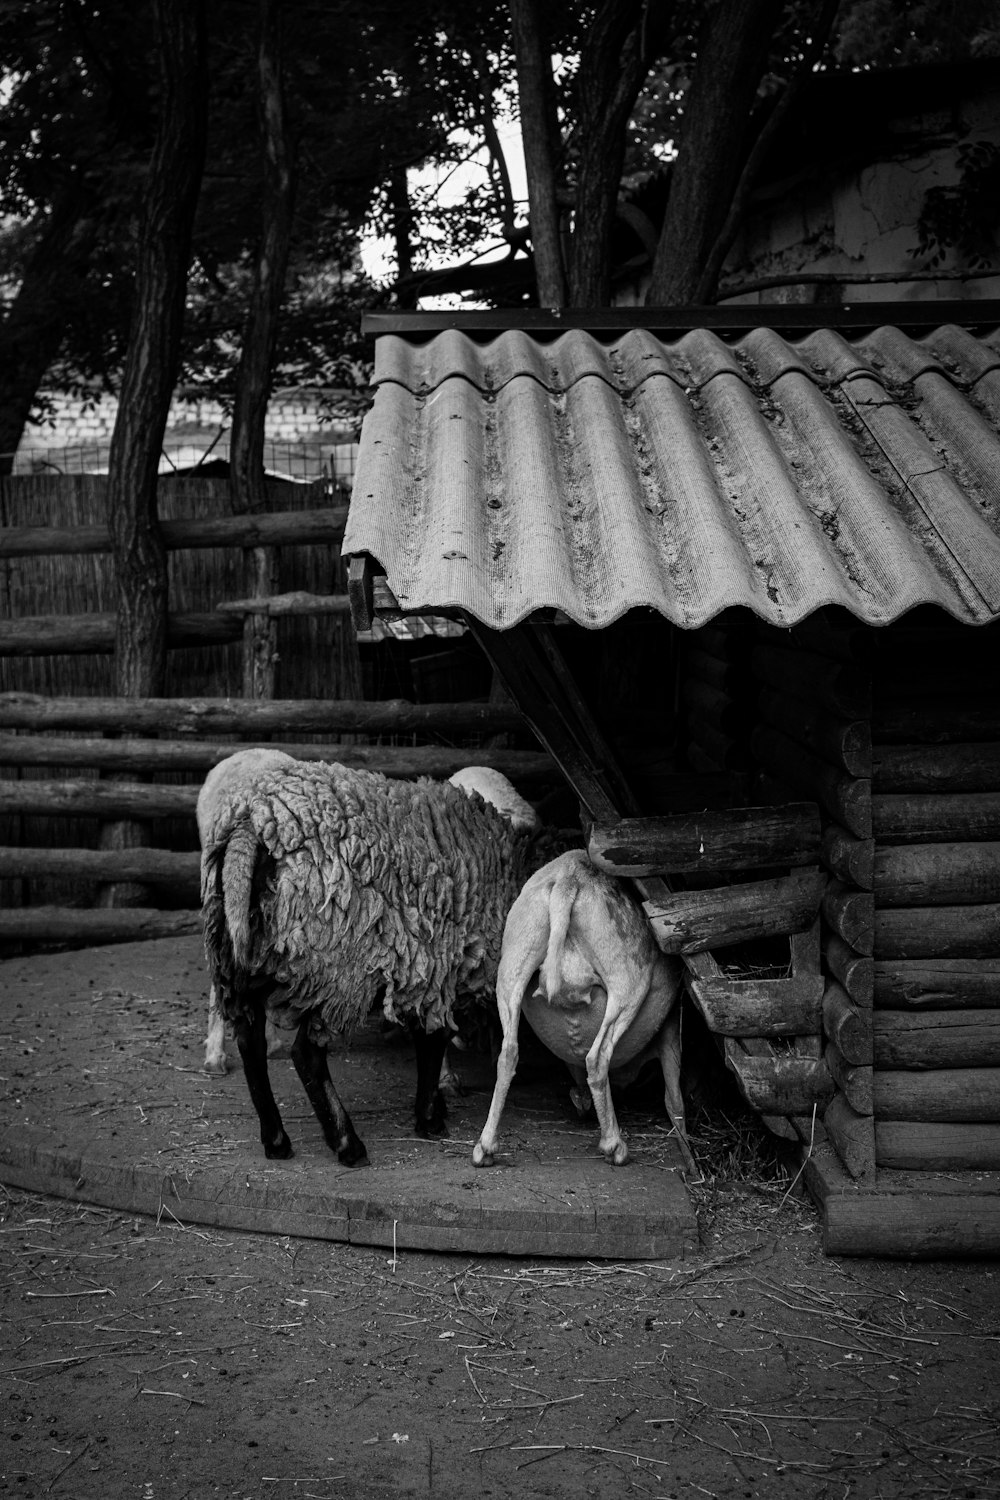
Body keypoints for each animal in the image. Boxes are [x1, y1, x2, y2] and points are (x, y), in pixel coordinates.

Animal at [200, 756, 542, 1164]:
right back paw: (347, 1143)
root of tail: (254, 826)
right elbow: (433, 1037)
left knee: (250, 1042)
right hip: (336, 965)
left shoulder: (425, 963)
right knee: (307, 1053)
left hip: (237, 957)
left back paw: (277, 1140)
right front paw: (430, 1116)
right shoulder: (437, 958)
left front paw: (435, 1107)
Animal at [476, 852, 695, 1176]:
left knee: (508, 1054)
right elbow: (675, 1101)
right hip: (626, 981)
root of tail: (571, 877)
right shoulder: (670, 1026)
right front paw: (691, 1163)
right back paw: (615, 1146)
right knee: (597, 1057)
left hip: (513, 965)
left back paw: (485, 1148)